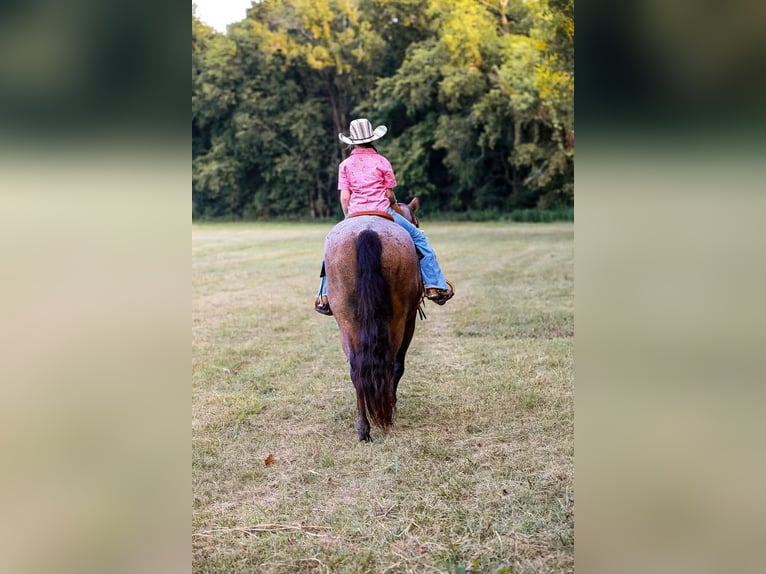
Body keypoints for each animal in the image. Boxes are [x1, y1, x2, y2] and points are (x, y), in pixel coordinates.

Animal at [323, 198, 423, 442]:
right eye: (416, 221)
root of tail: (367, 232)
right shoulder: (410, 320)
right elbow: (399, 365)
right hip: (397, 321)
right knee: (390, 364)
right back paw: (387, 414)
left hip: (347, 322)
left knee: (356, 369)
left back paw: (363, 429)